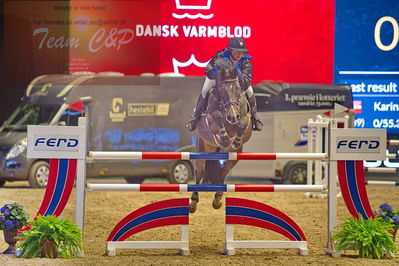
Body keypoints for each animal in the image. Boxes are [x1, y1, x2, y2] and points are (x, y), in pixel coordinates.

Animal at [190, 59, 253, 213]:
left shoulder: (244, 116)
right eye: (222, 91)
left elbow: (242, 123)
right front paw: (224, 139)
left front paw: (234, 140)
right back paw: (193, 202)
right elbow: (217, 117)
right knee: (199, 173)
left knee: (222, 172)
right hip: (203, 148)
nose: (232, 116)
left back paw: (217, 199)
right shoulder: (211, 117)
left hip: (234, 157)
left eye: (237, 89)